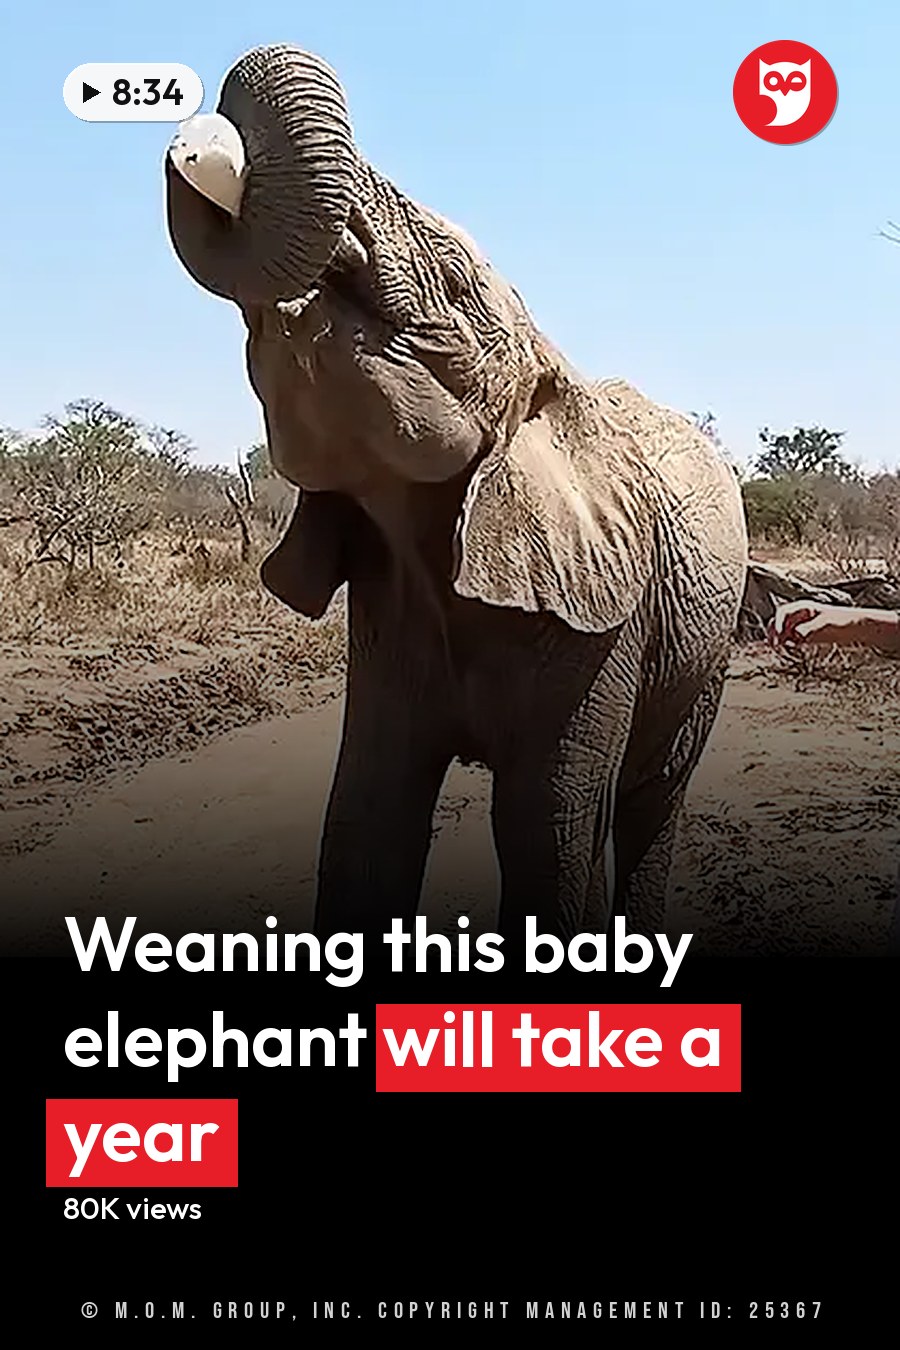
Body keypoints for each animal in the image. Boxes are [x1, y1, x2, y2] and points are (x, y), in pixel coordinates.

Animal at [164, 43, 748, 941]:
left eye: (450, 276)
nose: (192, 140)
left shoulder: (609, 614)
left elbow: (545, 828)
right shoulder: (388, 603)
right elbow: (368, 815)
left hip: (704, 647)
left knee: (651, 800)